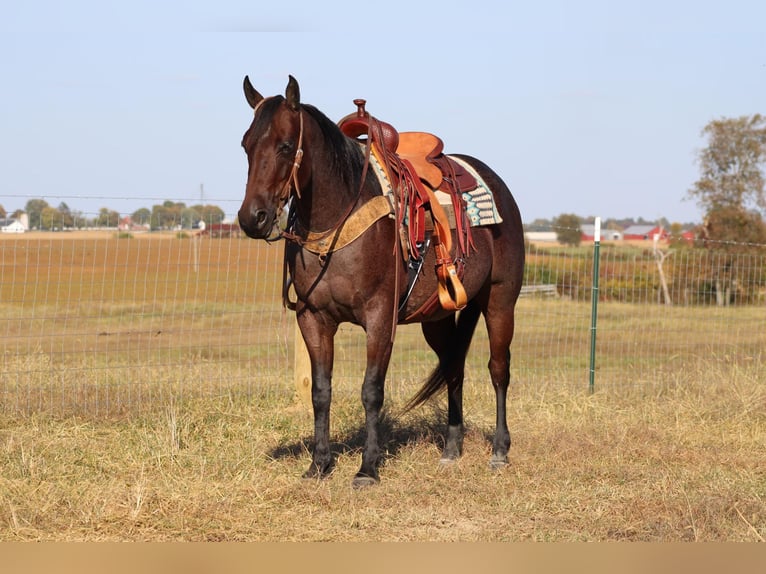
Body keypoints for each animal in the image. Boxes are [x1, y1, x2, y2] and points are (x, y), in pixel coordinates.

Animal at [238, 75, 528, 490]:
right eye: (246, 144)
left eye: (285, 145)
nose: (252, 218)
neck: (338, 217)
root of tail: (497, 184)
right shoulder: (313, 319)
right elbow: (321, 391)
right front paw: (319, 464)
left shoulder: (379, 318)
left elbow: (371, 391)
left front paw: (367, 468)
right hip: (436, 318)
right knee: (454, 368)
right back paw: (451, 448)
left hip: (500, 301)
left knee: (498, 369)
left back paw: (500, 451)